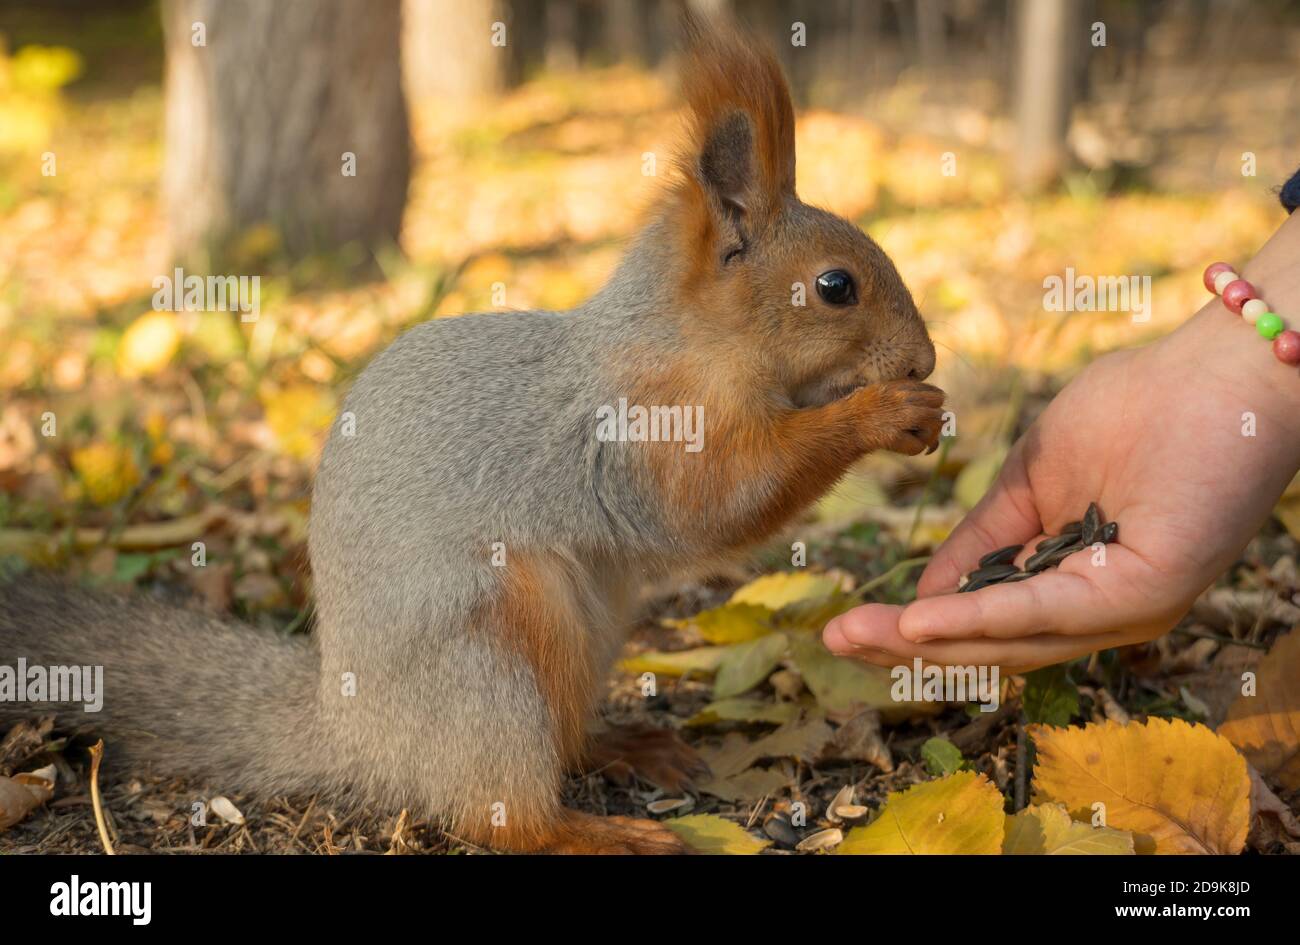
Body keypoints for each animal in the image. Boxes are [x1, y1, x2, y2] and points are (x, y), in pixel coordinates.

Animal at [0, 15, 941, 854]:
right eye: (835, 286)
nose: (926, 358)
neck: (689, 342)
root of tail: (358, 734)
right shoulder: (643, 427)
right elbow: (713, 505)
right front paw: (884, 413)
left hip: (589, 625)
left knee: (560, 743)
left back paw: (625, 745)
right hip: (491, 655)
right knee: (502, 815)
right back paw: (599, 832)